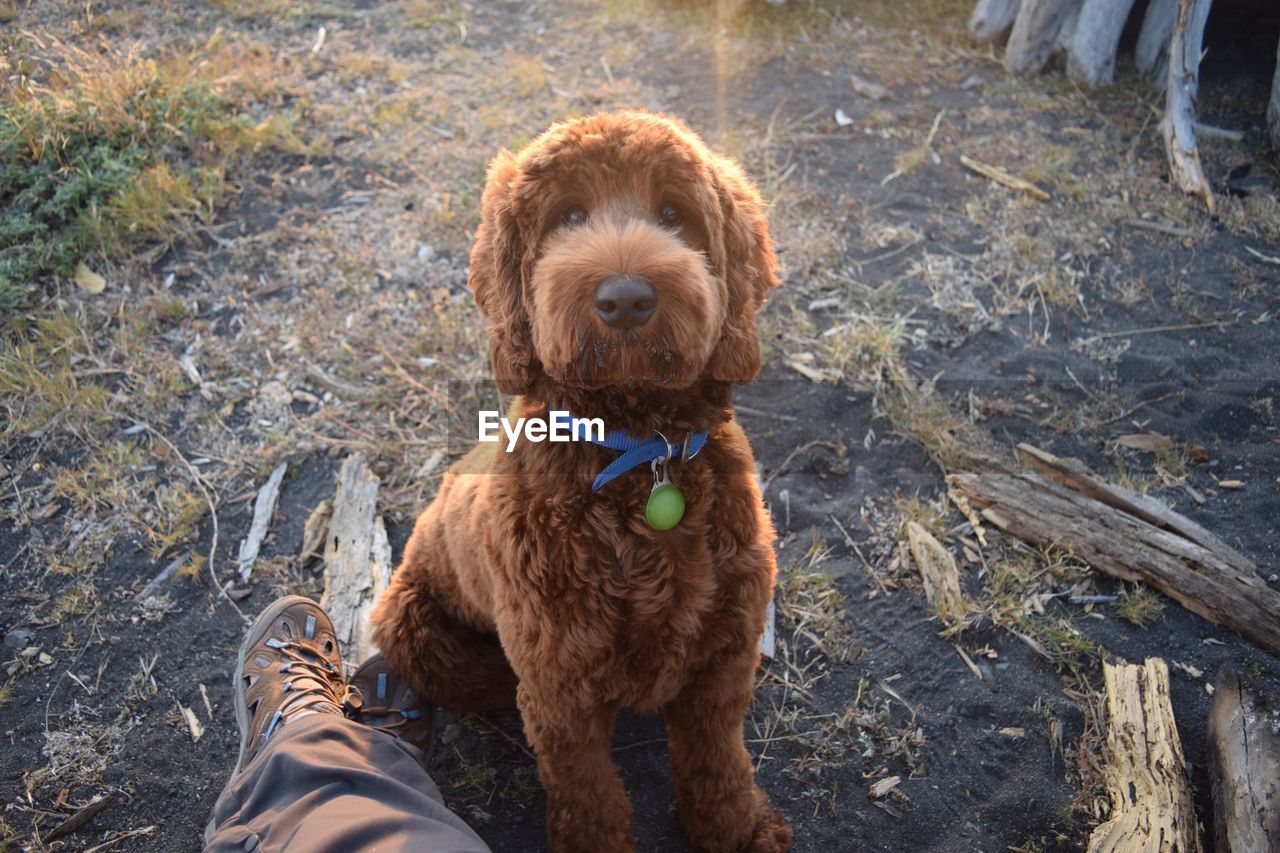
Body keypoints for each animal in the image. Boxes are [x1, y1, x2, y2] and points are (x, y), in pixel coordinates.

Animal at [371, 109, 788, 845]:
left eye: (674, 214)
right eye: (568, 215)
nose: (624, 298)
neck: (636, 451)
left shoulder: (725, 657)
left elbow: (718, 760)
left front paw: (737, 830)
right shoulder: (558, 686)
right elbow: (588, 794)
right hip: (413, 628)